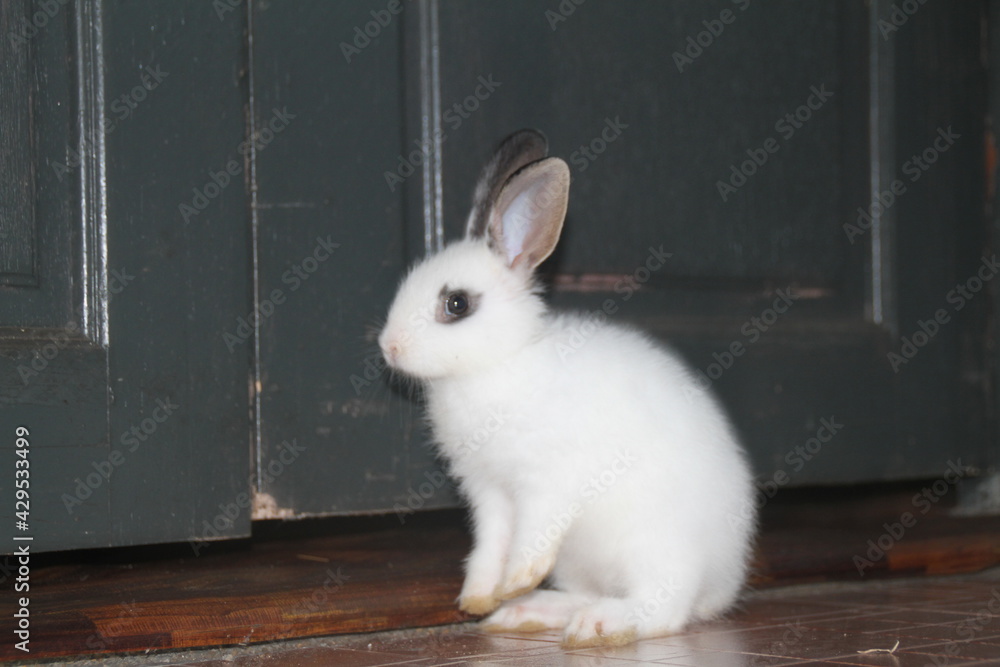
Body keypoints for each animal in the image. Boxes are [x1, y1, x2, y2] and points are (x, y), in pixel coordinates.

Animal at [378, 129, 757, 648]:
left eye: (456, 304)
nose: (388, 347)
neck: (500, 363)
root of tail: (724, 582)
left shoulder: (548, 483)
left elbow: (531, 537)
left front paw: (516, 580)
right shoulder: (489, 494)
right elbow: (490, 544)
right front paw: (481, 597)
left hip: (654, 545)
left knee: (663, 611)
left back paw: (599, 624)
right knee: (594, 595)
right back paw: (528, 613)